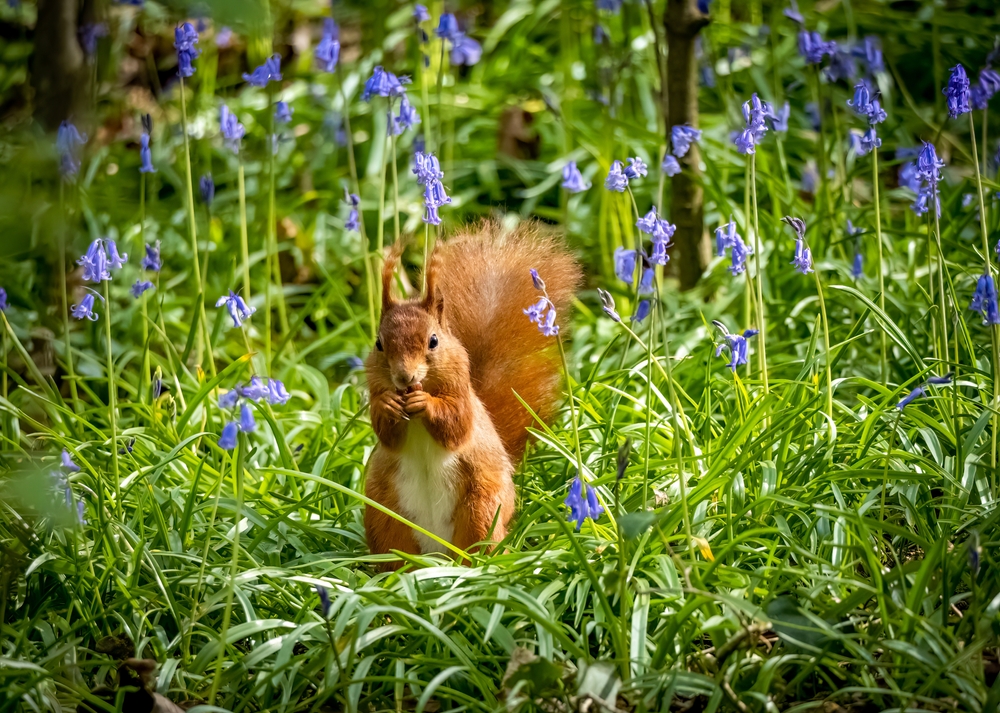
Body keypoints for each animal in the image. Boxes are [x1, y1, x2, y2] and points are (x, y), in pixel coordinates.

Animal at [364, 220, 581, 566]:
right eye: (379, 344)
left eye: (434, 341)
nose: (404, 377)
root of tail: (438, 552)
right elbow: (387, 434)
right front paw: (387, 404)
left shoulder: (464, 397)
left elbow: (457, 425)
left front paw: (425, 402)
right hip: (383, 513)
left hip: (481, 507)